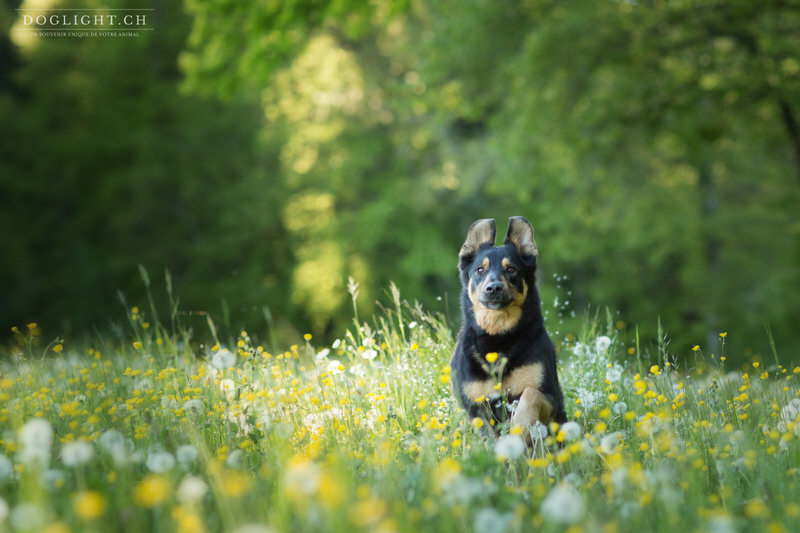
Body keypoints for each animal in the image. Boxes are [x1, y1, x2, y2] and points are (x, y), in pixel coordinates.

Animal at [450, 214, 568, 438]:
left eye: (511, 269)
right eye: (480, 269)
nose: (493, 288)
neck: (497, 337)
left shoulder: (549, 396)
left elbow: (529, 396)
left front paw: (517, 432)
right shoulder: (475, 406)